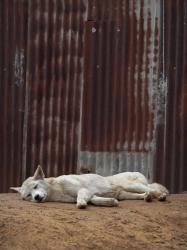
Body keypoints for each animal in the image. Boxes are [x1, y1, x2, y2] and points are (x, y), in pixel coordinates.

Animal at [10, 166, 169, 209]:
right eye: (28, 196)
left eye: (36, 186)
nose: (36, 197)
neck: (57, 190)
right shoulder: (92, 195)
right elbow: (96, 201)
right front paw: (111, 203)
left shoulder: (84, 190)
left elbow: (80, 198)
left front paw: (80, 204)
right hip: (125, 194)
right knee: (146, 193)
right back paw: (147, 198)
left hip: (133, 185)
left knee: (154, 189)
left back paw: (161, 196)